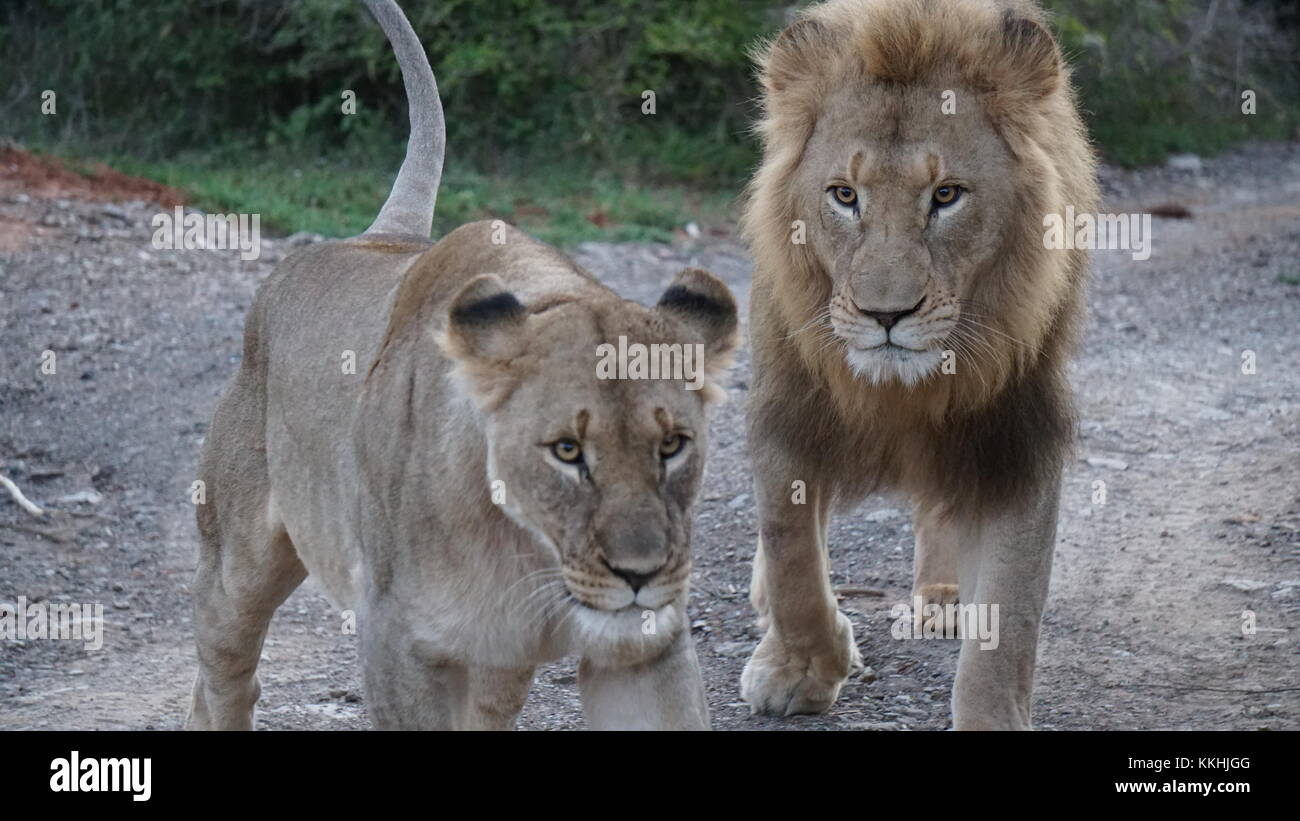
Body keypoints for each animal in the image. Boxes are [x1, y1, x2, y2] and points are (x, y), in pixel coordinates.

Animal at [185, 0, 737, 731]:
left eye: (673, 445)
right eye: (567, 451)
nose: (640, 574)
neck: (529, 547)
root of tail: (376, 235)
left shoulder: (644, 646)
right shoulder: (398, 638)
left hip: (498, 667)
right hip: (236, 563)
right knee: (223, 675)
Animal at [738, 0, 1098, 729]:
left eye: (947, 195)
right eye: (844, 195)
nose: (886, 315)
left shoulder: (1017, 434)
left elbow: (1011, 616)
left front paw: (992, 715)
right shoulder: (786, 411)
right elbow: (791, 554)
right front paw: (801, 671)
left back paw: (943, 595)